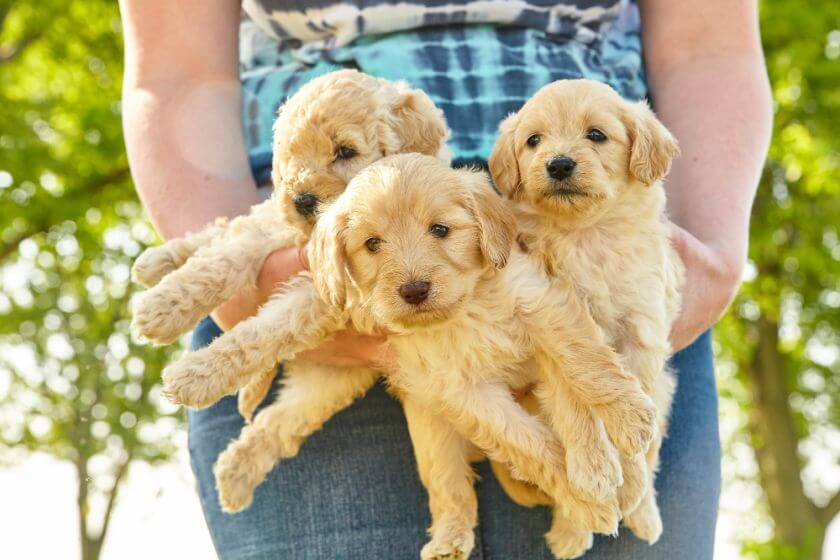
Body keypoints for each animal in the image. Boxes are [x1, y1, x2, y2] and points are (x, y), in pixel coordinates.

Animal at [130, 69, 452, 420]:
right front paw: (161, 308)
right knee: (227, 228)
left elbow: (268, 331)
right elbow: (220, 263)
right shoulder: (272, 233)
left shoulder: (328, 293)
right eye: (290, 155)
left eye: (345, 151)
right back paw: (158, 261)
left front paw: (196, 375)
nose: (301, 201)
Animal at [167, 152, 656, 556]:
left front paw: (628, 420)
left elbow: (586, 362)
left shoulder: (542, 303)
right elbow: (529, 445)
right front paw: (586, 500)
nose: (415, 290)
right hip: (397, 413)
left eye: (440, 230)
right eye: (372, 244)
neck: (465, 310)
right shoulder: (459, 387)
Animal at [488, 76, 684, 544]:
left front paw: (628, 484)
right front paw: (593, 474)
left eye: (596, 135)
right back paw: (570, 531)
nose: (558, 164)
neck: (586, 235)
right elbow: (573, 399)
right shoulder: (553, 323)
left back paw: (643, 512)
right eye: (533, 141)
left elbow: (631, 410)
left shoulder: (643, 331)